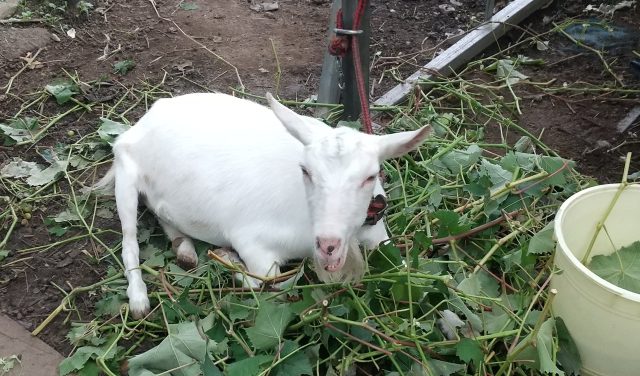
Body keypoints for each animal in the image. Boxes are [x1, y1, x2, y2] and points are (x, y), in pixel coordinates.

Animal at [92, 92, 432, 318]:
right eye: (305, 170)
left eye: (370, 176)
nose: (328, 245)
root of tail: (145, 120)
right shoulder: (252, 240)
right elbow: (270, 283)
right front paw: (229, 261)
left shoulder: (377, 234)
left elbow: (405, 269)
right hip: (126, 176)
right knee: (129, 241)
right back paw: (139, 299)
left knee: (163, 214)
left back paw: (185, 250)